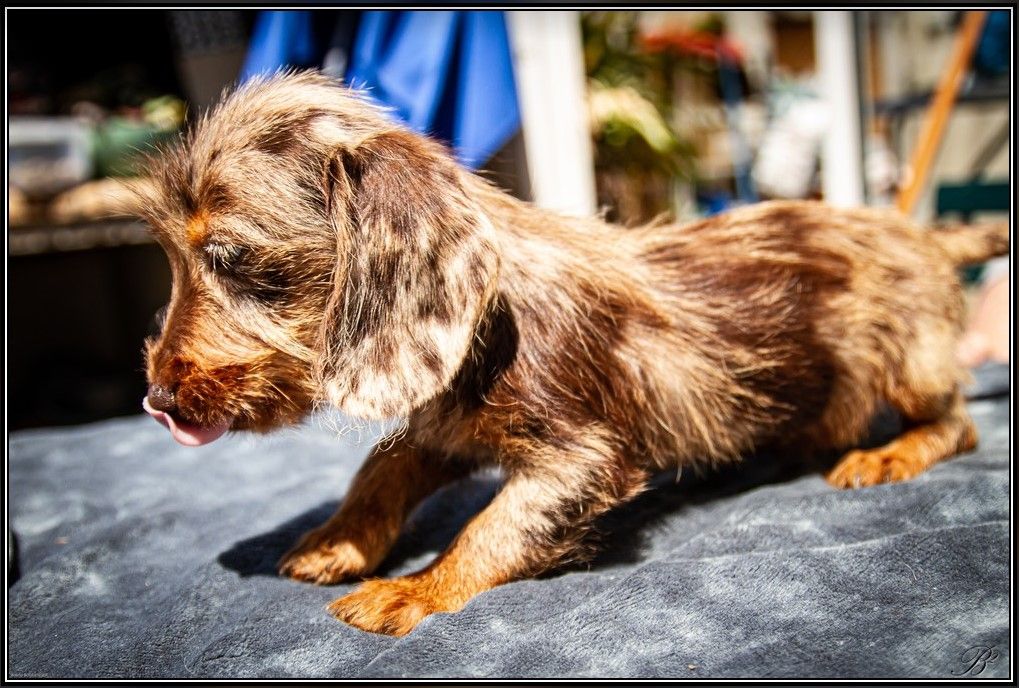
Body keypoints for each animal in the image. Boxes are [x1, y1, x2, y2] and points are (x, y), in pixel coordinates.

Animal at [139, 72, 1006, 636]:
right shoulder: (441, 428)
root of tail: (926, 235)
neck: (490, 324)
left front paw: (417, 590)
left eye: (227, 255)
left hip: (910, 361)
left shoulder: (579, 457)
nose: (155, 401)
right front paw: (336, 540)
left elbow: (488, 528)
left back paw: (890, 452)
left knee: (955, 422)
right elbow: (378, 473)